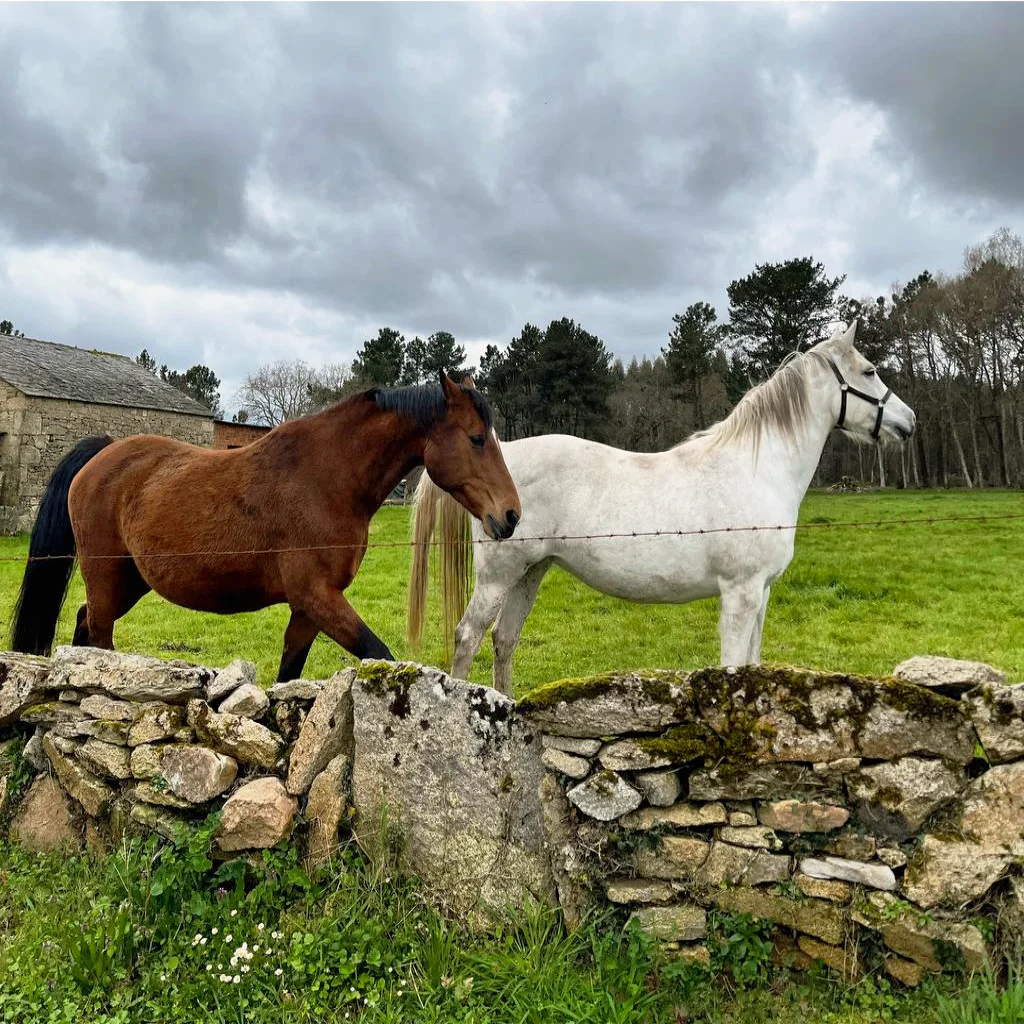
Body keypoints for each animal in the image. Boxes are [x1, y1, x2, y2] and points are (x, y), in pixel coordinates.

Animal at [8, 376, 520, 679]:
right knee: (98, 632)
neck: (327, 477)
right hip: (107, 574)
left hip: (131, 580)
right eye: (477, 438)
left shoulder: (310, 608)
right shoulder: (318, 597)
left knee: (84, 624)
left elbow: (289, 674)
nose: (511, 515)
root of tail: (103, 453)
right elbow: (380, 655)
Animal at [403, 323, 917, 692]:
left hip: (531, 571)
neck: (757, 469)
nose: (909, 421)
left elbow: (752, 665)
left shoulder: (762, 593)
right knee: (468, 636)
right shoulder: (741, 592)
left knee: (504, 640)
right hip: (498, 575)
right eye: (869, 371)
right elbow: (733, 669)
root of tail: (502, 456)